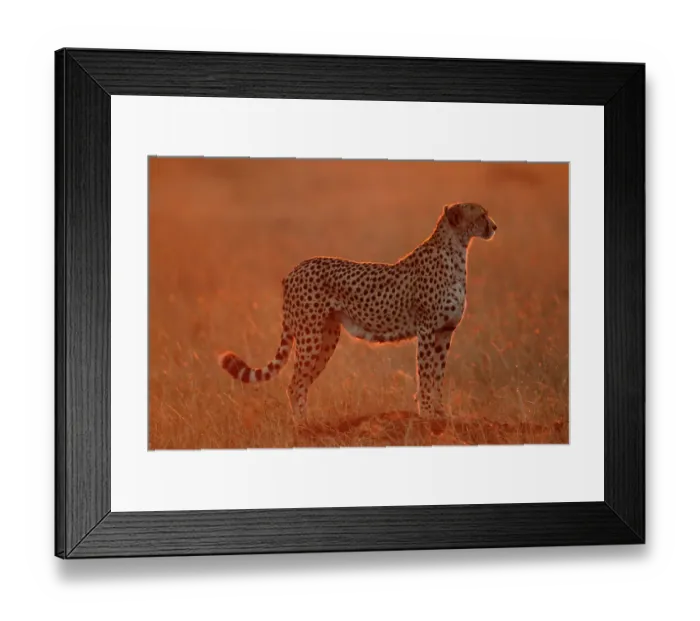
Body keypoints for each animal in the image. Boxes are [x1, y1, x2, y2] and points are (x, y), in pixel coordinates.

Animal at [219, 202, 497, 420]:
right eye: (482, 215)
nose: (494, 226)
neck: (456, 250)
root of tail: (294, 269)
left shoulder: (444, 332)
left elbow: (438, 375)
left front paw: (440, 414)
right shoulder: (427, 330)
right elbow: (426, 374)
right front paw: (427, 415)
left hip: (327, 337)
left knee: (302, 382)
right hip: (310, 336)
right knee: (295, 384)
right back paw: (303, 428)